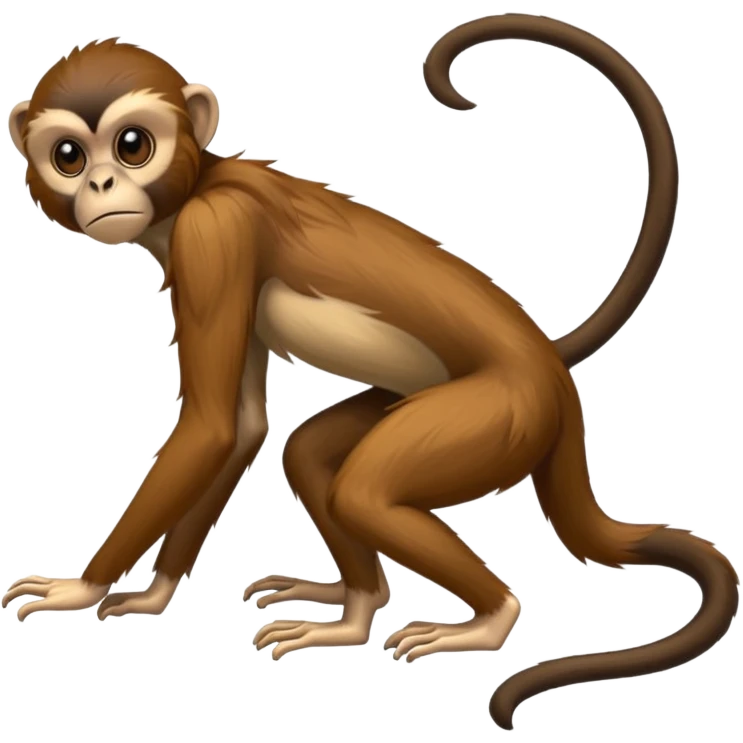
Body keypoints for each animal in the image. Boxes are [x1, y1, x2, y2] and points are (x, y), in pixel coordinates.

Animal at [1, 14, 738, 731]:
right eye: (69, 156)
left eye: (132, 145)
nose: (100, 185)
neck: (199, 186)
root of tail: (551, 374)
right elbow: (240, 426)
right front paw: (154, 592)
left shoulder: (215, 234)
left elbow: (208, 428)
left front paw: (82, 587)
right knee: (311, 455)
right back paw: (354, 611)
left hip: (501, 415)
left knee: (365, 491)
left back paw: (486, 619)